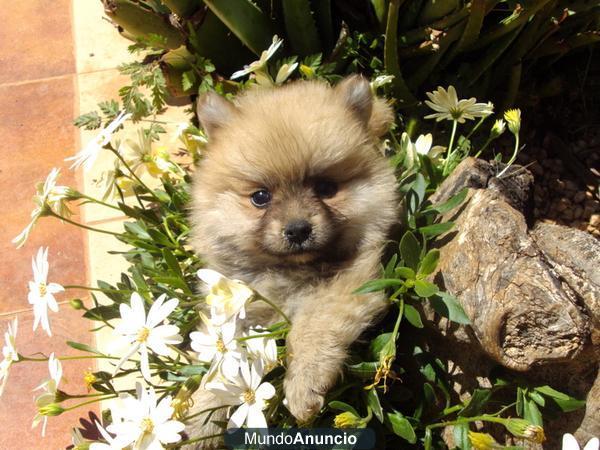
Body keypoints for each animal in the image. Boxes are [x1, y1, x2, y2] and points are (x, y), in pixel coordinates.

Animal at [188, 75, 398, 444]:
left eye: (326, 188)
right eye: (260, 197)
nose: (298, 230)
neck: (287, 272)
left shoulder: (346, 287)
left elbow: (310, 329)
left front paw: (303, 389)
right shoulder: (236, 312)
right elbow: (222, 365)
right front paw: (203, 418)